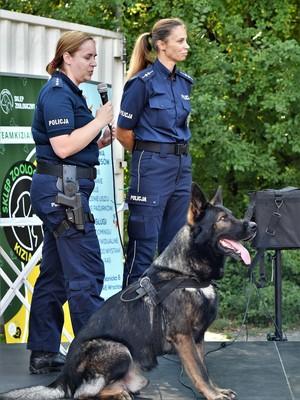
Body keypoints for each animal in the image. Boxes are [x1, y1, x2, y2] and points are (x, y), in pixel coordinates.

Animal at [1, 183, 256, 398]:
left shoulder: (198, 338)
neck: (186, 273)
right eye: (224, 219)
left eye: (232, 214)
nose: (253, 225)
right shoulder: (183, 337)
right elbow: (200, 371)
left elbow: (203, 369)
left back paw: (121, 392)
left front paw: (215, 390)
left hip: (139, 377)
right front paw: (213, 395)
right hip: (119, 349)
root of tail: (62, 378)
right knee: (81, 394)